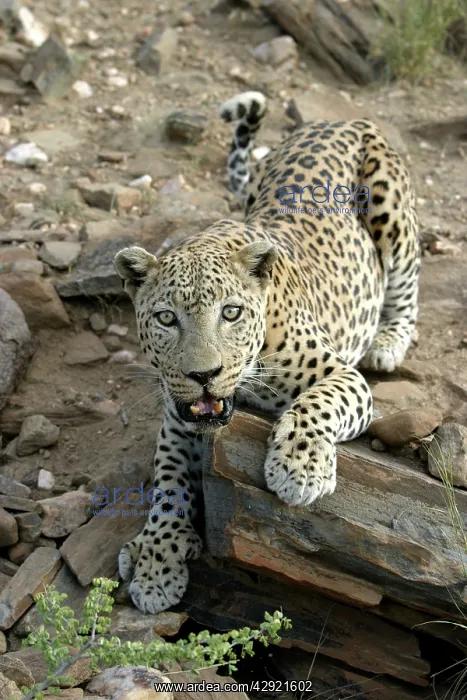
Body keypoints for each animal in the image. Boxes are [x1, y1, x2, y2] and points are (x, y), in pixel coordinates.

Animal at [114, 90, 420, 614]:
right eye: (167, 319)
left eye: (231, 313)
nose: (204, 374)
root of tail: (341, 119)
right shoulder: (178, 415)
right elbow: (168, 481)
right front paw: (156, 562)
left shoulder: (342, 376)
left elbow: (316, 404)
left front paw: (299, 468)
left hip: (390, 210)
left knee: (407, 283)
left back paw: (387, 342)